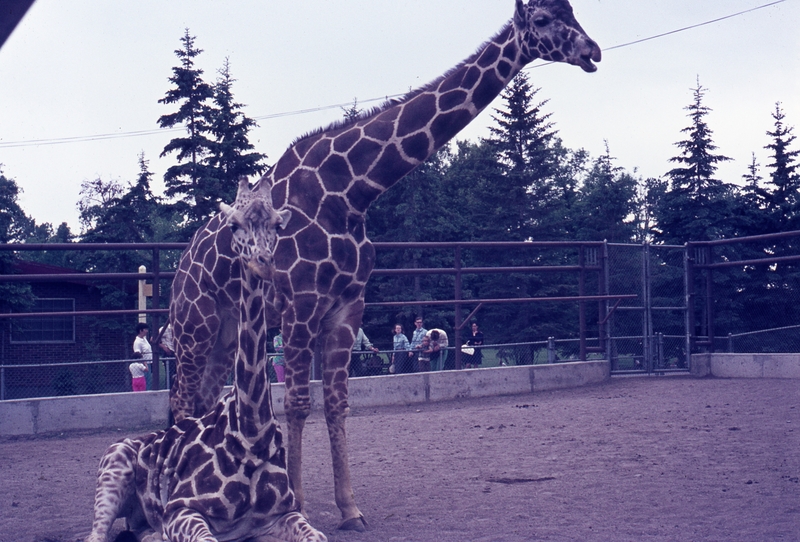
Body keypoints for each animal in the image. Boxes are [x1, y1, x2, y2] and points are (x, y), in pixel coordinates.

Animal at [86, 183, 326, 542]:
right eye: (234, 225)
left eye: (277, 225)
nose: (263, 263)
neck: (251, 435)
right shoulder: (180, 509)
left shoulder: (278, 516)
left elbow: (317, 535)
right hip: (112, 472)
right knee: (97, 535)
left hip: (139, 520)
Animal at [170, 0, 600, 532]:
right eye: (540, 20)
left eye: (573, 10)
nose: (592, 51)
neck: (351, 192)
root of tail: (179, 268)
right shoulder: (300, 304)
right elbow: (296, 403)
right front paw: (297, 504)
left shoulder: (346, 306)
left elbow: (337, 404)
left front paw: (350, 509)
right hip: (194, 328)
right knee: (182, 402)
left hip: (225, 334)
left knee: (202, 402)